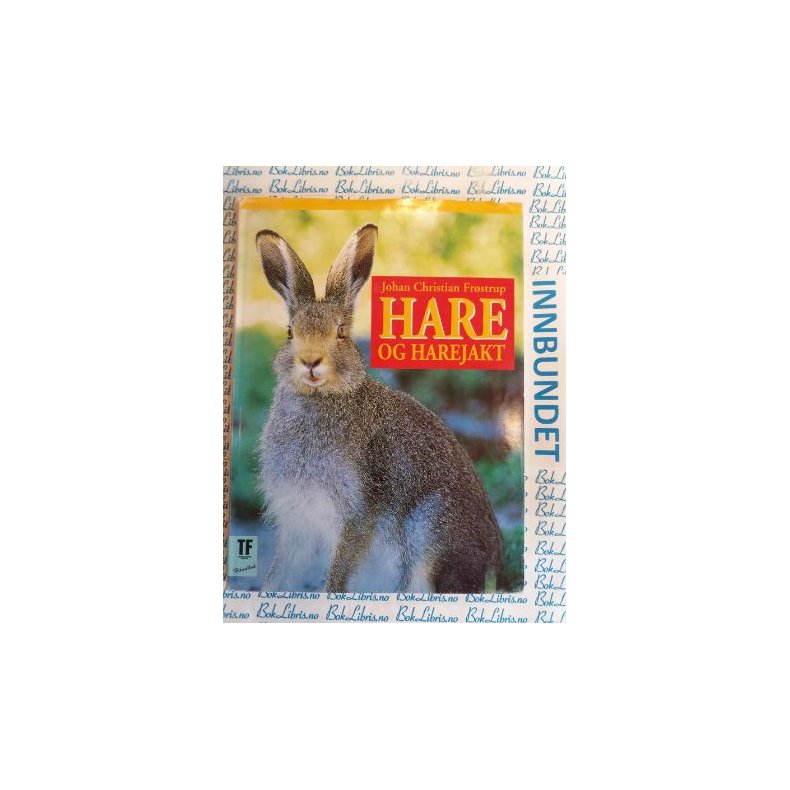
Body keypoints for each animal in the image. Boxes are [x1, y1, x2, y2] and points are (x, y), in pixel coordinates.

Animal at [255, 223, 503, 593]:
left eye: (341, 332)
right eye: (289, 332)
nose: (310, 361)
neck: (322, 398)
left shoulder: (358, 512)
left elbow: (338, 573)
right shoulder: (298, 520)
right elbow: (280, 573)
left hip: (429, 532)